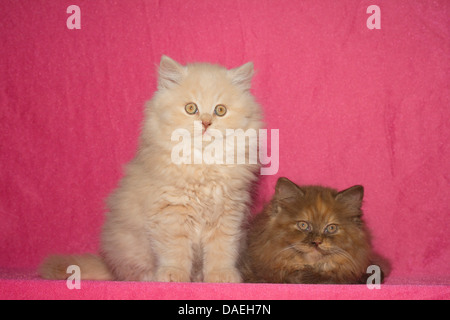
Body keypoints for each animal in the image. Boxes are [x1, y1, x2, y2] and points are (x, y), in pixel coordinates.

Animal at [39, 55, 264, 282]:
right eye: (191, 108)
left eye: (220, 110)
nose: (206, 123)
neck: (203, 164)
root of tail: (108, 264)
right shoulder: (170, 211)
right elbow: (176, 250)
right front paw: (174, 275)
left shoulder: (229, 214)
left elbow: (222, 250)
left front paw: (221, 275)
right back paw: (151, 277)